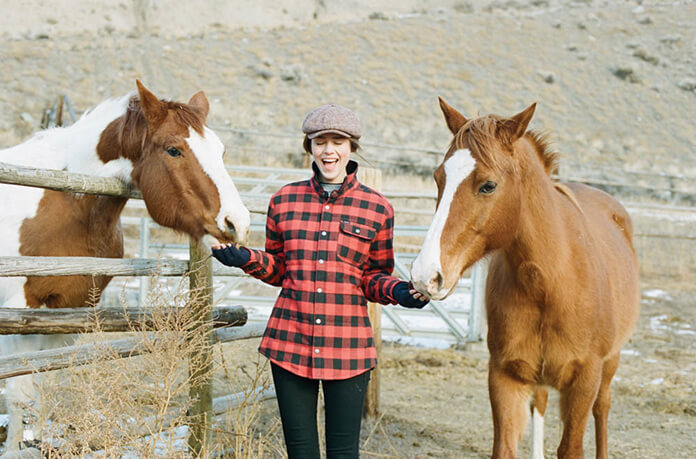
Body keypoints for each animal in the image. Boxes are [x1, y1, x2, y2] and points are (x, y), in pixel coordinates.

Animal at [0, 81, 250, 452]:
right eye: (173, 150)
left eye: (220, 151)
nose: (238, 222)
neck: (63, 202)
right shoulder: (20, 313)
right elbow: (20, 397)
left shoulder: (65, 316)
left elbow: (43, 391)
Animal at [410, 99, 640, 458]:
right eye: (438, 178)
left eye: (488, 185)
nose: (425, 275)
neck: (551, 283)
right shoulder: (506, 375)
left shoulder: (584, 380)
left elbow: (572, 446)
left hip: (609, 365)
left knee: (602, 408)